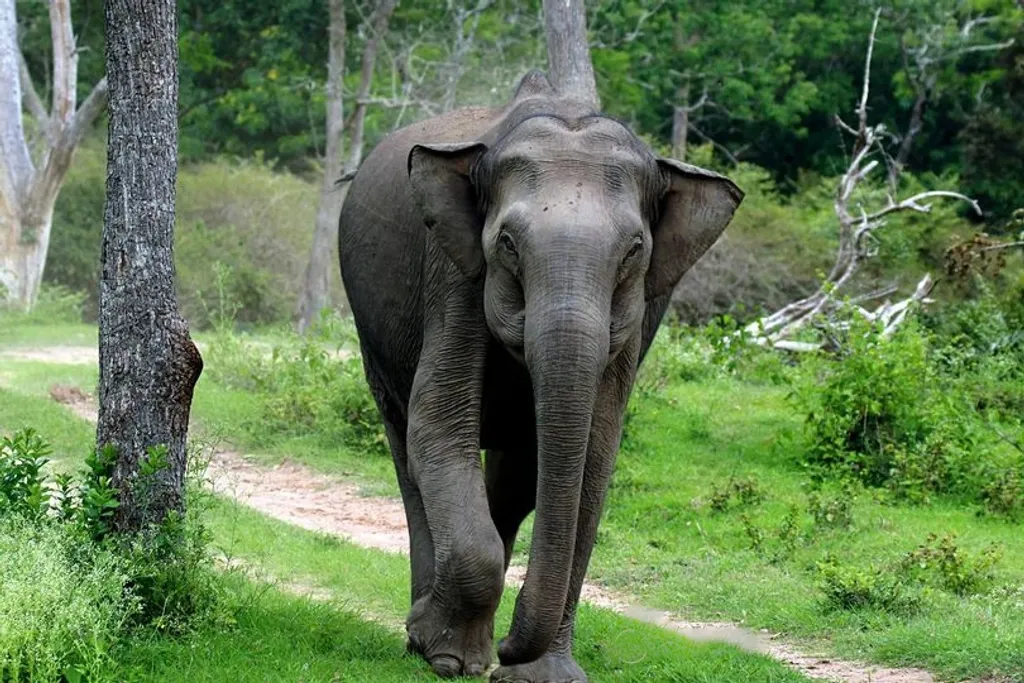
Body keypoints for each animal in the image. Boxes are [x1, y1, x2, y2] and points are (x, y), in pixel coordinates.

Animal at [337, 70, 745, 683]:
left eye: (634, 251)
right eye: (507, 244)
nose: (510, 648)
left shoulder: (640, 313)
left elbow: (595, 456)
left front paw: (540, 675)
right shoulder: (451, 271)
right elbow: (439, 425)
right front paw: (451, 659)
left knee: (515, 480)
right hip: (376, 342)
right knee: (408, 447)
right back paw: (428, 639)